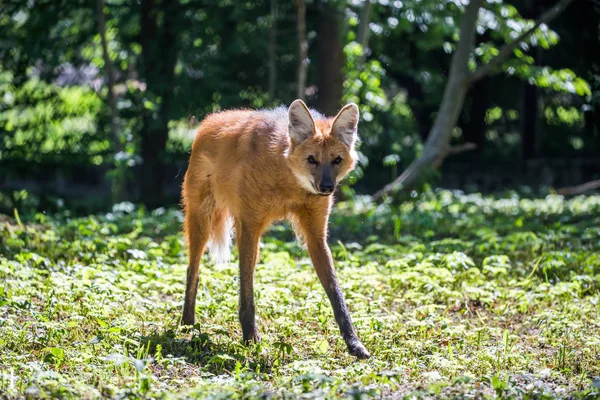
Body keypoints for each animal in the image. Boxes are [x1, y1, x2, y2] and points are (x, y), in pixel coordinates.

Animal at [182, 99, 370, 360]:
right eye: (311, 159)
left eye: (336, 160)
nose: (326, 187)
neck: (290, 182)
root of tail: (209, 121)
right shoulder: (249, 225)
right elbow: (247, 290)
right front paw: (250, 340)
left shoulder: (315, 234)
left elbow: (336, 291)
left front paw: (354, 343)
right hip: (203, 218)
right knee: (194, 268)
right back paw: (187, 325)